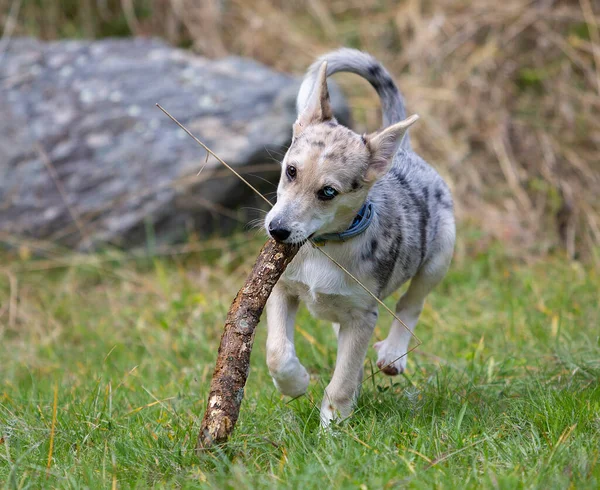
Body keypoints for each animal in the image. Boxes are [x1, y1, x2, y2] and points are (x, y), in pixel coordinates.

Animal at [264, 49, 454, 424]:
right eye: (291, 171)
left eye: (328, 192)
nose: (277, 230)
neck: (323, 248)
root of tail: (406, 152)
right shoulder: (282, 289)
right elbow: (277, 351)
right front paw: (295, 383)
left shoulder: (363, 317)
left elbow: (342, 379)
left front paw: (332, 425)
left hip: (439, 257)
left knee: (411, 303)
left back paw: (393, 354)